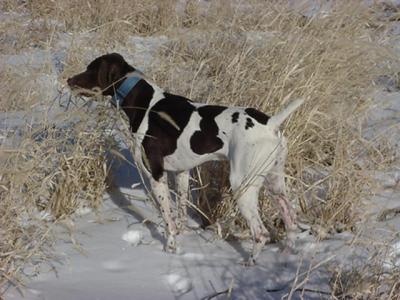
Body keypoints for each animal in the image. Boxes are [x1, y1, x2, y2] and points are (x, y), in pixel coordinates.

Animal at [67, 52, 302, 264]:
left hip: (242, 185)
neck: (145, 103)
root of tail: (271, 123)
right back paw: (285, 256)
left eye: (91, 69)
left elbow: (168, 220)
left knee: (261, 232)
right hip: (274, 182)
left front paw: (171, 249)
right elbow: (180, 212)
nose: (68, 80)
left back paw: (250, 263)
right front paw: (183, 238)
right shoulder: (182, 173)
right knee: (290, 219)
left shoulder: (156, 175)